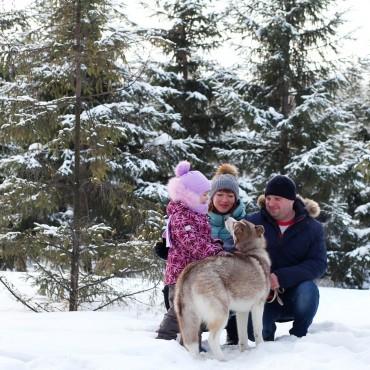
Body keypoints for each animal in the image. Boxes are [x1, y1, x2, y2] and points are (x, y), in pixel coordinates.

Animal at [173, 218, 272, 360]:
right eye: (237, 223)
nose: (226, 218)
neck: (252, 251)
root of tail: (191, 270)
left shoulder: (242, 311)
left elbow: (243, 336)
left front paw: (245, 352)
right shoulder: (258, 306)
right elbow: (258, 331)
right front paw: (261, 349)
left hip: (189, 319)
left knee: (190, 343)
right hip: (222, 315)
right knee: (212, 339)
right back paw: (223, 360)